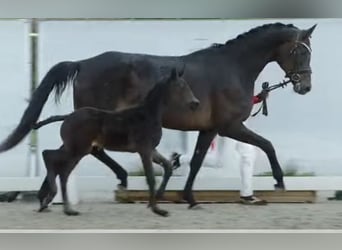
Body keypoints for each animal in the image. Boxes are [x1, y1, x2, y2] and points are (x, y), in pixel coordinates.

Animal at [36, 67, 199, 217]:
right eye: (181, 86)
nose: (195, 103)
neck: (149, 115)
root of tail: (68, 117)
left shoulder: (152, 150)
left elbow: (168, 167)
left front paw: (158, 198)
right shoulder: (144, 150)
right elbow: (151, 178)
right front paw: (157, 209)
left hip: (76, 148)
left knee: (56, 164)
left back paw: (58, 206)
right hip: (78, 149)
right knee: (54, 162)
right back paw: (58, 204)